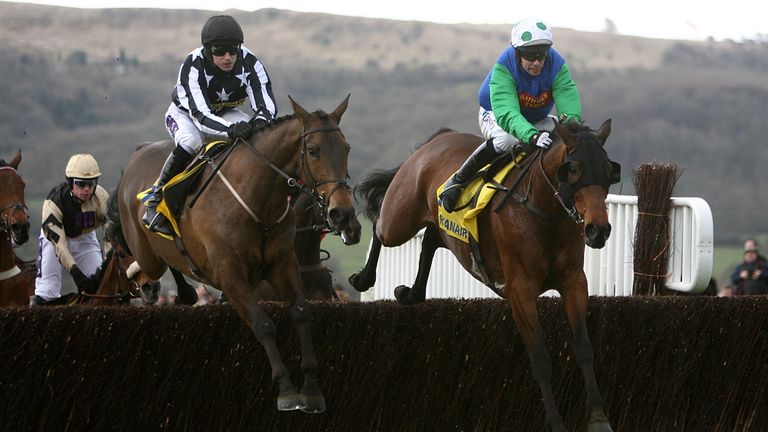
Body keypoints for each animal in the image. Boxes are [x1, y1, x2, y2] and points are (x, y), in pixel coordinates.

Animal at [117, 96, 360, 414]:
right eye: (313, 150)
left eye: (346, 148)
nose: (344, 215)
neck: (257, 202)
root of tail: (139, 152)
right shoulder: (230, 274)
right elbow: (263, 324)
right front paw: (287, 391)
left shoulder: (283, 265)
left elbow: (302, 314)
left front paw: (311, 390)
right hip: (146, 252)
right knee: (140, 262)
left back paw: (185, 293)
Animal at [352, 120, 620, 432]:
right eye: (574, 168)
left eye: (608, 168)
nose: (598, 230)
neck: (544, 212)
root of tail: (438, 139)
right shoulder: (520, 291)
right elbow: (540, 358)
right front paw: (555, 423)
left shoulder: (574, 283)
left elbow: (584, 347)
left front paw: (599, 417)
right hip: (399, 219)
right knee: (378, 224)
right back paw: (363, 278)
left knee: (430, 238)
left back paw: (410, 293)